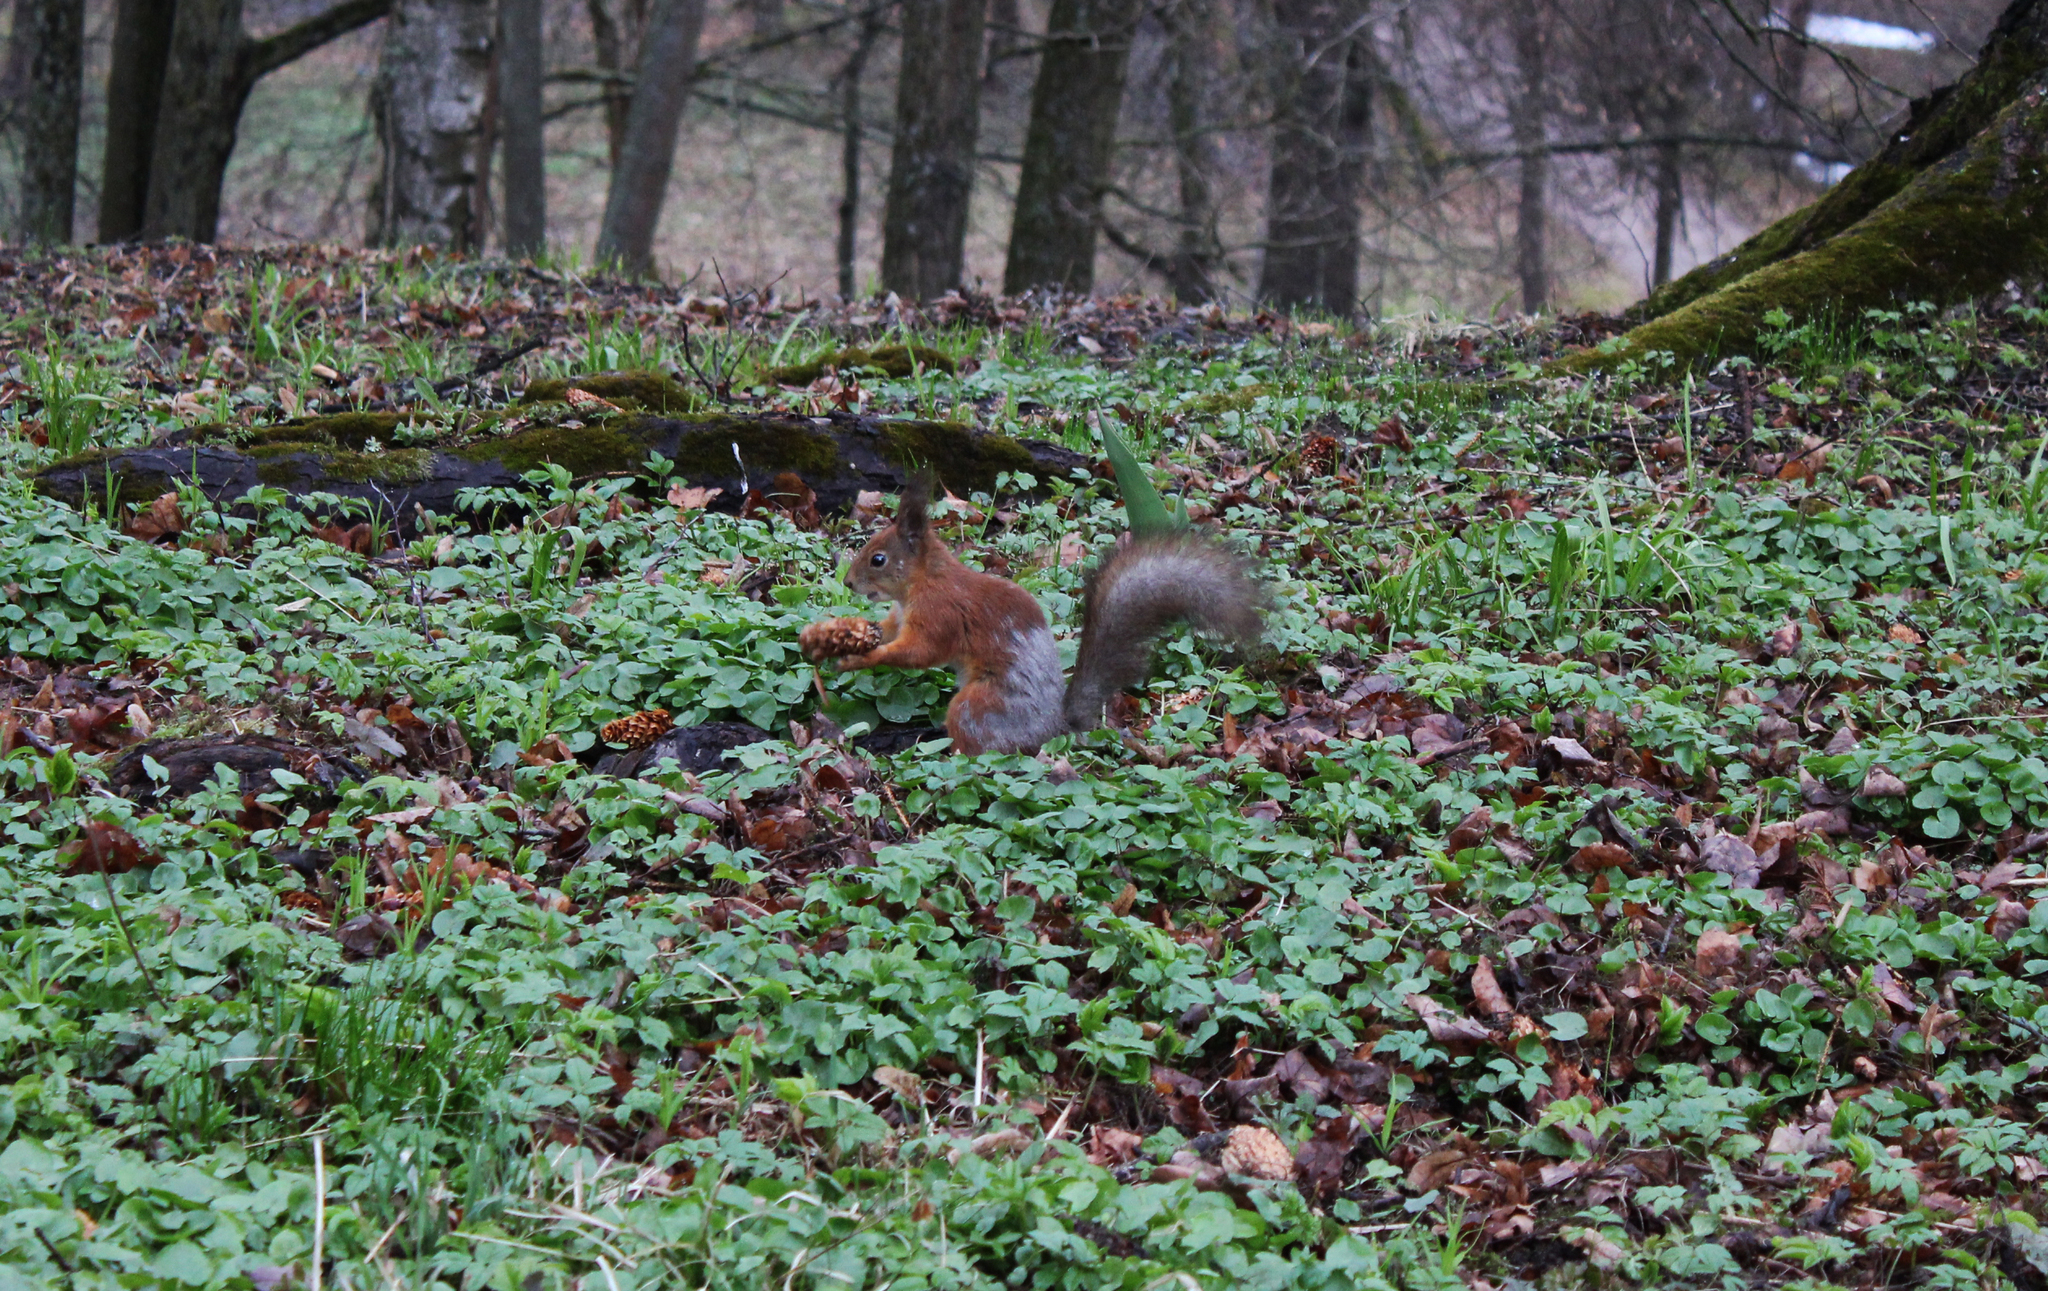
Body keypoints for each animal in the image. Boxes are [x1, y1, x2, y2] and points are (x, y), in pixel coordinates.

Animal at [811, 481, 1261, 754]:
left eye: (878, 559)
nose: (848, 582)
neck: (920, 584)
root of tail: (1056, 727)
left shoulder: (941, 614)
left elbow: (919, 653)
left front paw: (859, 658)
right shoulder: (900, 616)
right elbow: (888, 630)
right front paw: (846, 632)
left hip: (980, 706)